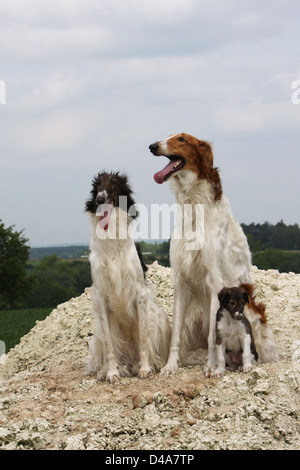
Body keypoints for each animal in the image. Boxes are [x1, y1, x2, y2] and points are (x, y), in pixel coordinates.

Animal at [85, 171, 171, 384]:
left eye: (114, 183)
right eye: (97, 186)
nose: (99, 199)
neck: (112, 243)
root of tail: (130, 362)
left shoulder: (139, 294)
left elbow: (143, 340)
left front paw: (146, 369)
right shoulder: (101, 297)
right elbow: (109, 346)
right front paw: (111, 373)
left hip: (161, 318)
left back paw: (154, 364)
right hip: (97, 333)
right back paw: (106, 370)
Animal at [149, 134, 278, 376]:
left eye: (182, 139)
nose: (152, 146)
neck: (194, 206)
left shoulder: (214, 281)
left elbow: (213, 336)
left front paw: (211, 366)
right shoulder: (180, 281)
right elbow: (175, 335)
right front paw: (171, 366)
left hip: (252, 315)